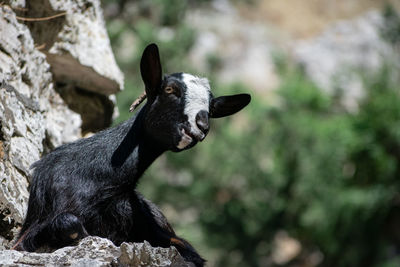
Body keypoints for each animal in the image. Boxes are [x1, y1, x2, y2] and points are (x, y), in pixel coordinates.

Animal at [14, 43, 252, 266]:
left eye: (211, 107)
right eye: (170, 90)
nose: (201, 125)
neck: (103, 182)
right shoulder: (24, 238)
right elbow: (67, 222)